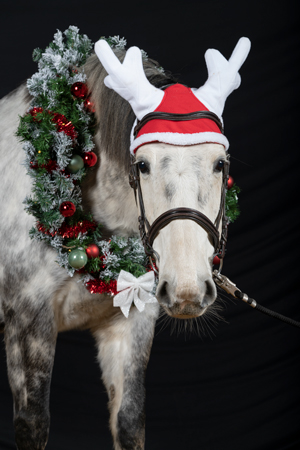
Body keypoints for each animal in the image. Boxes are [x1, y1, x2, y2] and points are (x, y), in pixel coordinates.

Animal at [0, 32, 250, 450]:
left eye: (220, 164)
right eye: (143, 165)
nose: (187, 290)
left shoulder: (132, 321)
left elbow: (129, 421)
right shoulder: (27, 324)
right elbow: (32, 425)